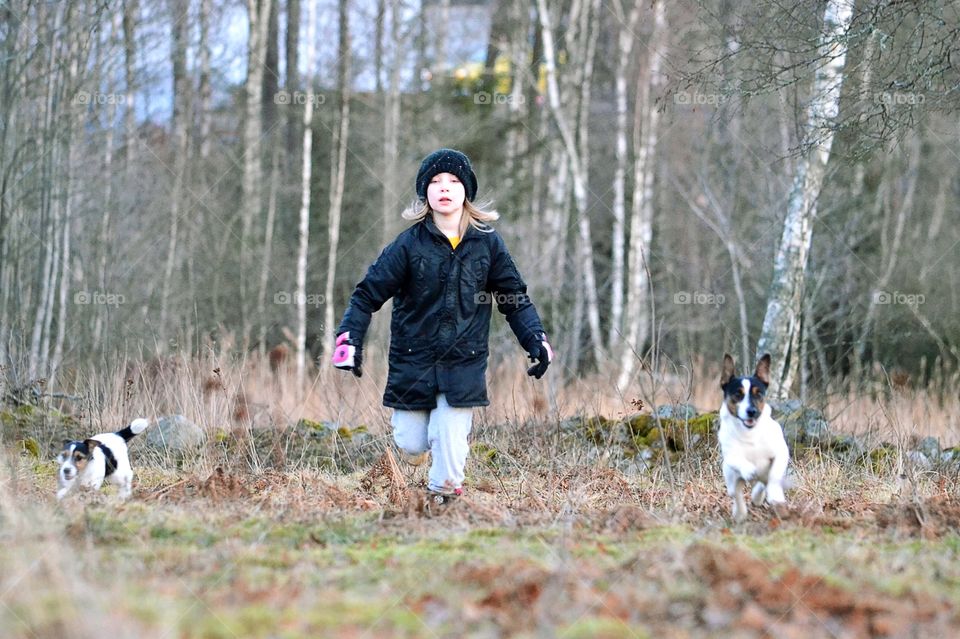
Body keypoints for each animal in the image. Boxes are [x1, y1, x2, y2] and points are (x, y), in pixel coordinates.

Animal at [720, 352, 788, 524]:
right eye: (738, 394)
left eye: (759, 393)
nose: (752, 411)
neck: (750, 433)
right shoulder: (730, 455)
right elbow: (739, 461)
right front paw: (749, 469)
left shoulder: (781, 453)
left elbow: (774, 475)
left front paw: (775, 495)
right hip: (731, 478)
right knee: (736, 494)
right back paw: (740, 513)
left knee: (762, 484)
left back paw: (758, 496)